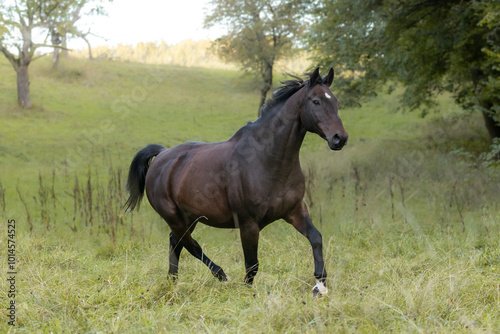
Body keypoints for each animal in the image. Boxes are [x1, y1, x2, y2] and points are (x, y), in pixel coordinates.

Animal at [125, 67, 348, 294]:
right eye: (316, 101)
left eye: (336, 101)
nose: (340, 138)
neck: (267, 160)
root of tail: (162, 155)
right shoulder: (248, 224)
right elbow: (252, 264)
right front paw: (246, 292)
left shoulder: (294, 211)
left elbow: (316, 238)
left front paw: (320, 285)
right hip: (174, 216)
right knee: (190, 244)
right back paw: (220, 275)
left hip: (189, 217)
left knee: (176, 242)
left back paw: (172, 282)